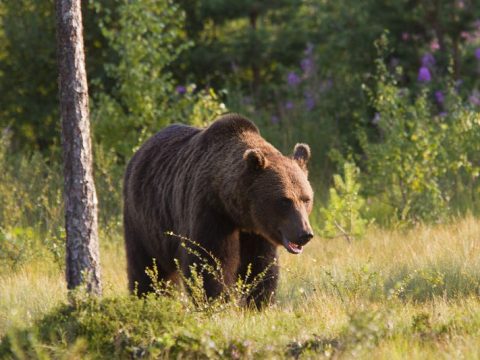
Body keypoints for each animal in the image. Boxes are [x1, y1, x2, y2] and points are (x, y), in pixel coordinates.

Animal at [122, 113, 314, 306]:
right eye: (285, 201)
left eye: (306, 199)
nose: (304, 233)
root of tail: (139, 151)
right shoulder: (211, 212)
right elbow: (209, 262)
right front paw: (217, 301)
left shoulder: (257, 231)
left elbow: (260, 265)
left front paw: (259, 302)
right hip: (143, 219)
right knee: (146, 265)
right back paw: (146, 297)